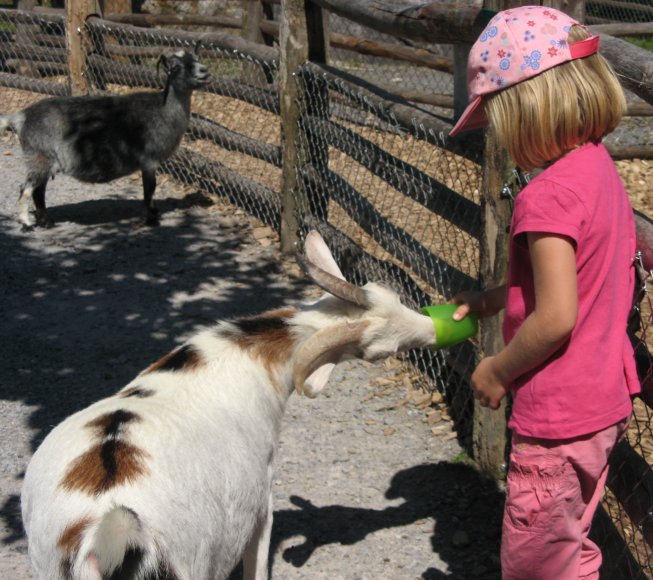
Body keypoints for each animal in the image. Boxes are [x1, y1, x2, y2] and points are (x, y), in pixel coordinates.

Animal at [0, 49, 209, 230]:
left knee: (38, 190)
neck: (162, 110)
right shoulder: (148, 160)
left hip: (44, 160)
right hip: (39, 157)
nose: (204, 71)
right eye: (175, 67)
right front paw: (149, 219)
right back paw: (27, 223)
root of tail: (22, 116)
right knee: (26, 188)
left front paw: (152, 215)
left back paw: (46, 222)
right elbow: (149, 189)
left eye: (196, 58)